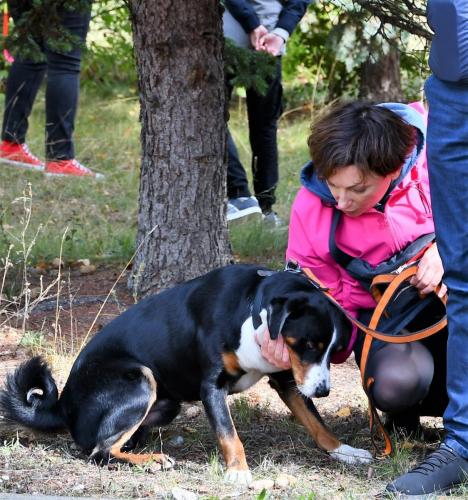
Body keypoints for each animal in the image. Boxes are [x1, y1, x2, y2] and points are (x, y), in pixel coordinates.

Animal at [0, 264, 372, 484]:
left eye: (333, 349)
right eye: (308, 344)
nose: (323, 391)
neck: (251, 310)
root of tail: (63, 404)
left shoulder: (287, 378)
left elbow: (317, 423)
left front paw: (345, 451)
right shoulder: (212, 386)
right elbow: (229, 434)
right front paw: (239, 473)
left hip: (166, 404)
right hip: (141, 380)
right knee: (99, 452)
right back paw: (152, 461)